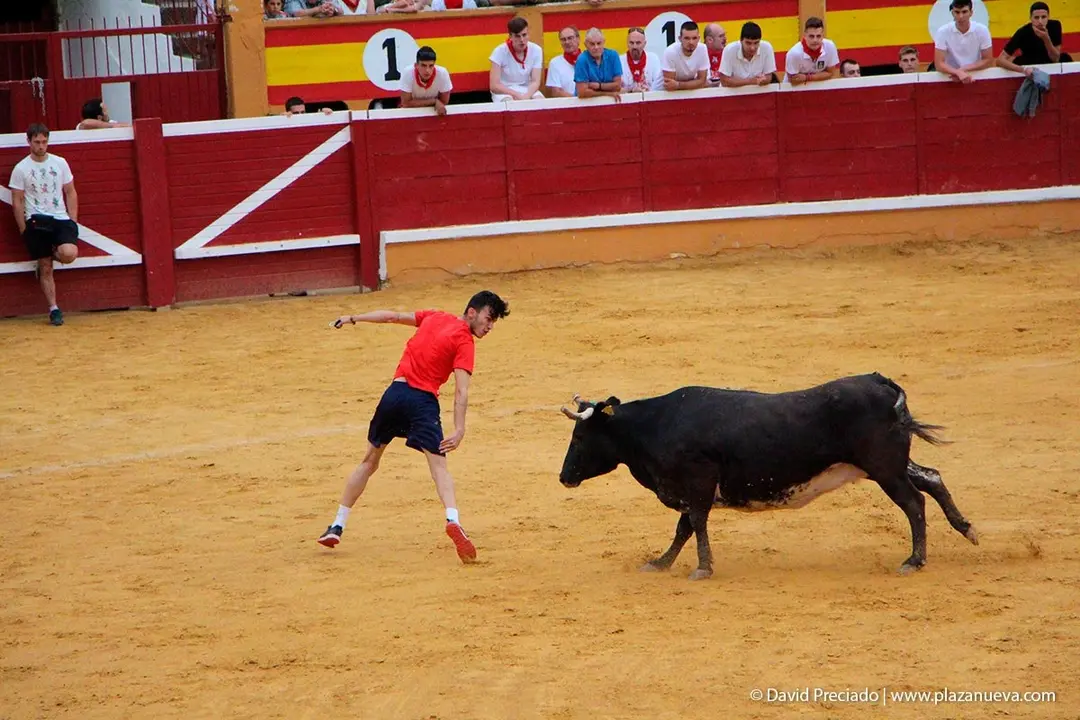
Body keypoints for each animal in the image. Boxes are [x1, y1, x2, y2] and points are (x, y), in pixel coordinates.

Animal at [557, 373, 978, 580]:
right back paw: (967, 530)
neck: (656, 426)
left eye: (579, 437)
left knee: (914, 501)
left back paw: (914, 560)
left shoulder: (697, 481)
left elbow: (694, 523)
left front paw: (702, 568)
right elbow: (684, 528)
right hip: (887, 466)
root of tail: (880, 382)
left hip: (884, 468)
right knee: (932, 478)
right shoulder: (692, 488)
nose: (563, 477)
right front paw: (660, 564)